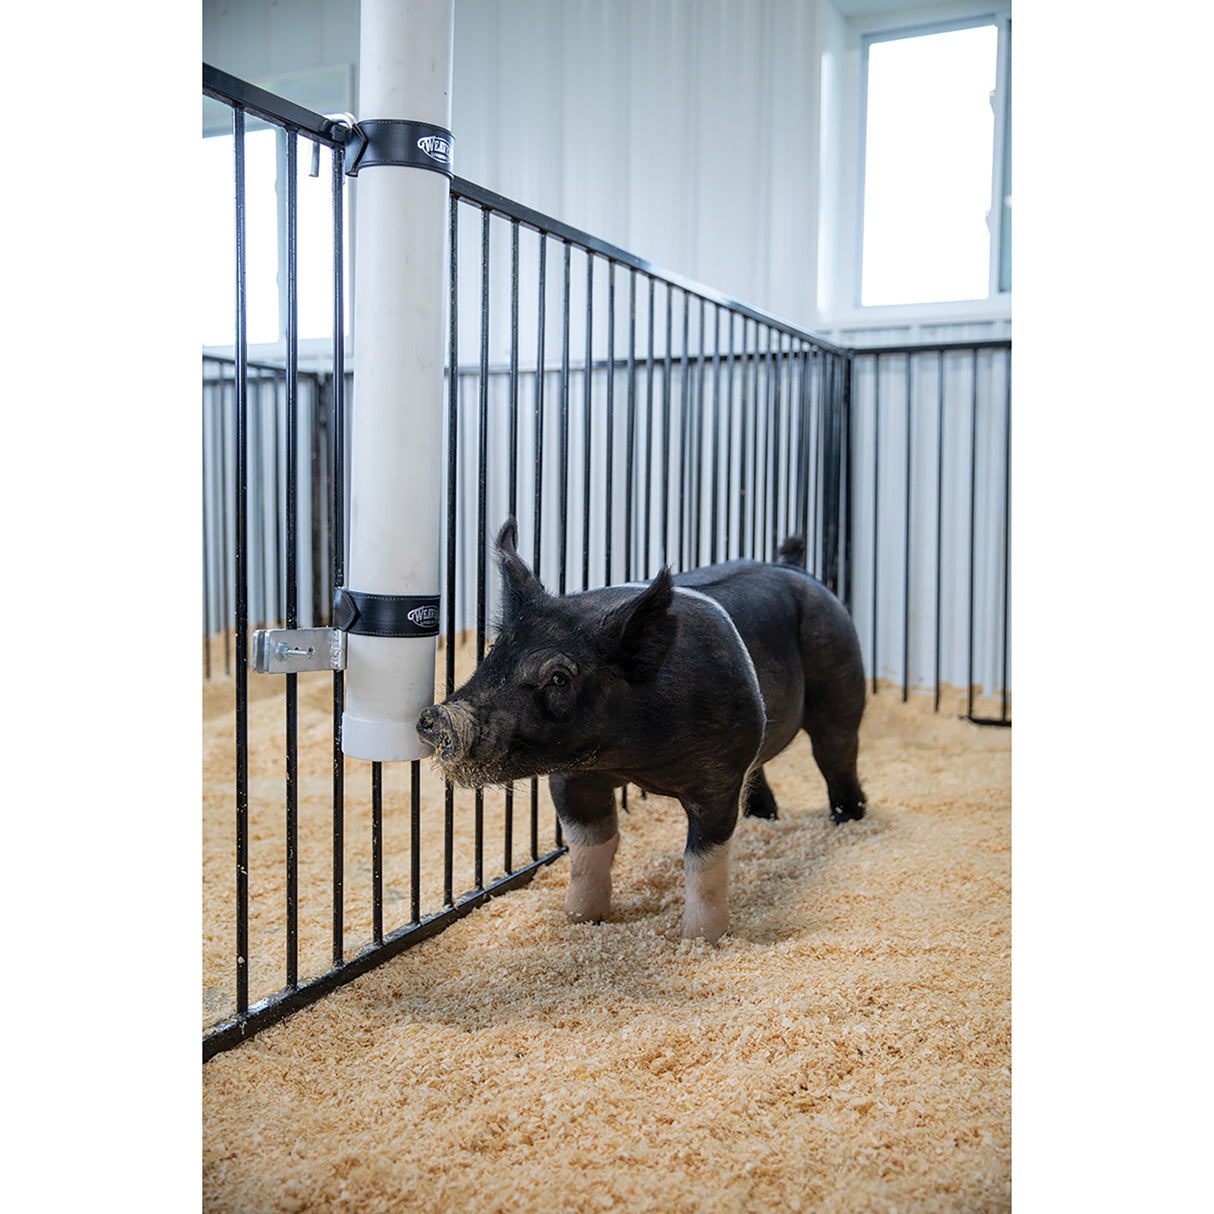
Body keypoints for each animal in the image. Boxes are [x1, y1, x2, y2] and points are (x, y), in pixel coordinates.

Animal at [416, 517, 867, 943]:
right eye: (494, 651)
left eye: (559, 678)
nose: (441, 717)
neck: (630, 758)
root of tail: (793, 566)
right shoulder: (571, 777)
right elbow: (589, 850)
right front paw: (580, 919)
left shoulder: (718, 775)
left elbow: (704, 860)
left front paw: (700, 941)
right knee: (762, 769)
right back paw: (764, 818)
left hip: (842, 679)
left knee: (836, 755)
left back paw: (849, 820)